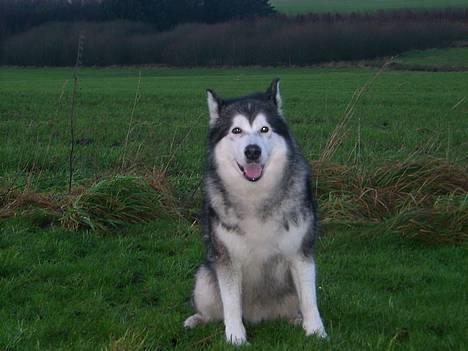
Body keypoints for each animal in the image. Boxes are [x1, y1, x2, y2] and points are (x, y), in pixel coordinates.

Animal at [183, 78, 326, 346]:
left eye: (264, 129)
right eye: (236, 130)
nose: (252, 151)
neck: (256, 195)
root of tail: (259, 316)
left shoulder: (300, 253)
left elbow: (310, 299)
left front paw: (317, 332)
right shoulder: (227, 260)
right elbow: (230, 305)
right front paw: (235, 337)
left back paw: (296, 319)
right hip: (205, 278)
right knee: (212, 309)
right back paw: (196, 320)